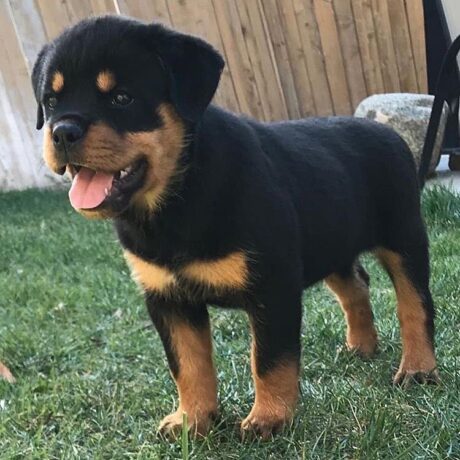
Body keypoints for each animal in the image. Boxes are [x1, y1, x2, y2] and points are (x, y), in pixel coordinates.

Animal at [32, 15, 438, 438]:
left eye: (122, 98)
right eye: (51, 101)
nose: (61, 132)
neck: (177, 197)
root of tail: (387, 133)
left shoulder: (273, 286)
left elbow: (269, 359)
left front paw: (269, 418)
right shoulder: (167, 298)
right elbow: (188, 365)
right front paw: (193, 419)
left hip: (404, 236)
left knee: (415, 303)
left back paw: (418, 369)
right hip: (332, 243)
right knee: (355, 286)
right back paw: (362, 346)